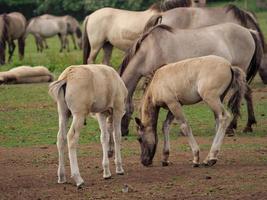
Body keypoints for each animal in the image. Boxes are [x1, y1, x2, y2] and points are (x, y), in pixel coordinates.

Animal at [120, 23, 264, 136]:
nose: (123, 132)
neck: (150, 50)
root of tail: (249, 31)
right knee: (247, 93)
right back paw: (246, 125)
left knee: (242, 95)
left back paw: (233, 127)